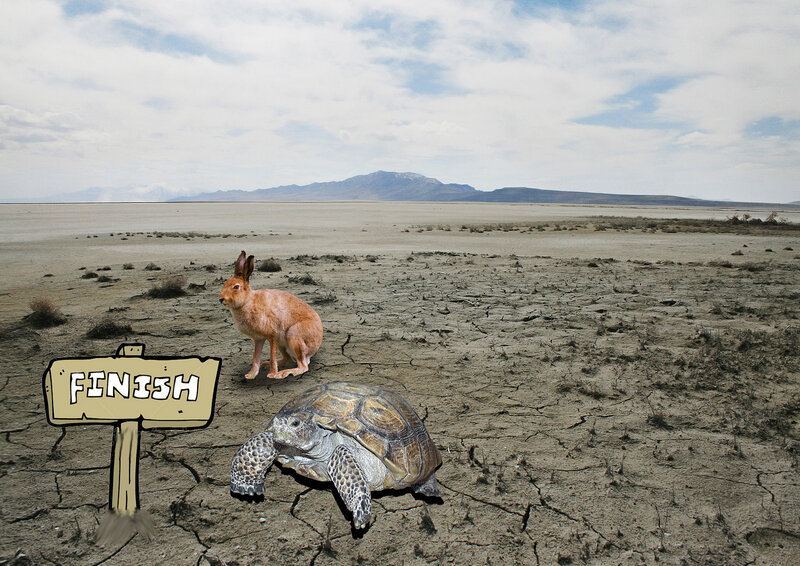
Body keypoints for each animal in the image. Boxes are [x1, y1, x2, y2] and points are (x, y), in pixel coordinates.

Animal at [219, 251, 323, 380]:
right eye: (224, 284)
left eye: (236, 287)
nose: (221, 299)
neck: (248, 301)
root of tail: (316, 345)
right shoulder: (258, 339)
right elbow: (255, 357)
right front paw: (250, 375)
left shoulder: (273, 335)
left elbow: (272, 355)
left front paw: (272, 374)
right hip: (283, 344)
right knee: (288, 359)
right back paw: (266, 364)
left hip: (294, 337)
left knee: (303, 366)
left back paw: (285, 373)